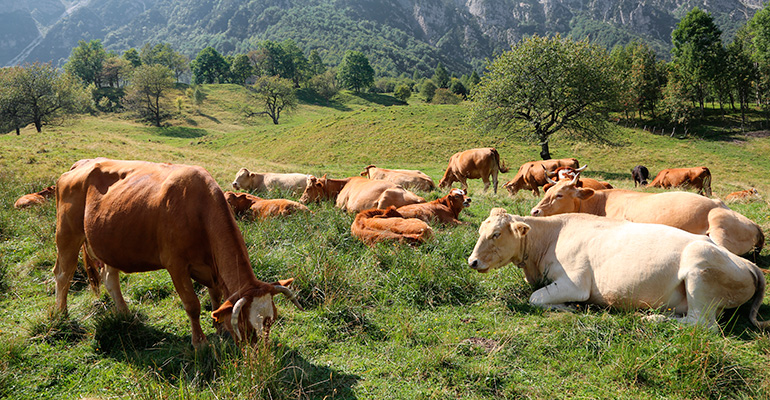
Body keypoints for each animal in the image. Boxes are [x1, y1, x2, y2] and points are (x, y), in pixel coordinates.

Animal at [52, 158, 300, 346]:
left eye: (271, 320)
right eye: (246, 325)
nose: (260, 356)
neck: (199, 209)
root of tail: (81, 164)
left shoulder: (211, 268)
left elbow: (215, 298)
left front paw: (219, 329)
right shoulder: (176, 265)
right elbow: (192, 305)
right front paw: (200, 342)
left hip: (109, 242)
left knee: (110, 278)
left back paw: (125, 315)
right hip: (67, 234)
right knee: (63, 274)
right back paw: (61, 314)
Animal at [464, 209, 768, 332]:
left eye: (496, 234)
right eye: (480, 231)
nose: (472, 262)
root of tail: (748, 263)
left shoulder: (576, 283)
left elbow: (535, 298)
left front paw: (567, 307)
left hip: (699, 269)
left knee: (703, 325)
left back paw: (653, 318)